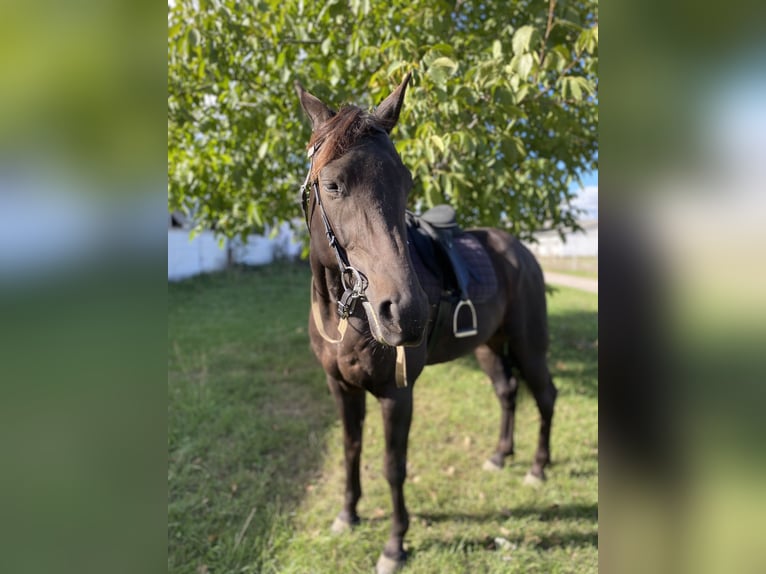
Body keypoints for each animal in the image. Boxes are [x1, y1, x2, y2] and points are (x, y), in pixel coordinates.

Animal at [296, 74, 560, 572]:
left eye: (406, 181)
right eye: (333, 184)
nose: (406, 311)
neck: (344, 318)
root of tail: (521, 251)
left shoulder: (396, 395)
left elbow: (393, 467)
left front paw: (395, 546)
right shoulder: (340, 388)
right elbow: (350, 450)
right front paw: (347, 515)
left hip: (529, 345)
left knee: (545, 395)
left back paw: (537, 469)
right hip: (488, 346)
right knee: (508, 391)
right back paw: (501, 456)